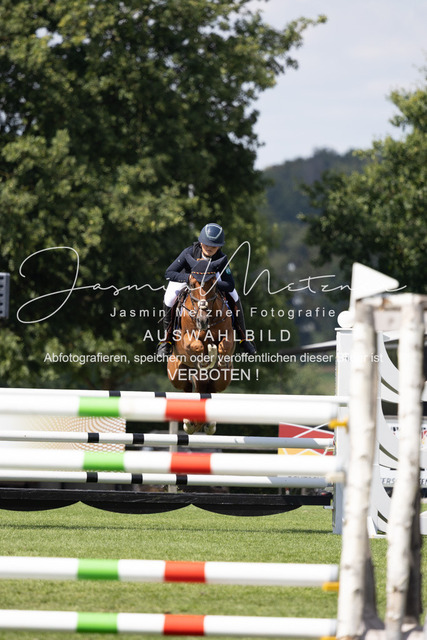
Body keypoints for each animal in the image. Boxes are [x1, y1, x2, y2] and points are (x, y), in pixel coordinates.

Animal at [167, 257, 235, 434]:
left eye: (213, 284)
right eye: (191, 284)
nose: (202, 320)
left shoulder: (229, 335)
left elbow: (224, 346)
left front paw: (216, 357)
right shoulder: (185, 339)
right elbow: (196, 346)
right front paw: (205, 359)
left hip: (223, 380)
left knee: (209, 389)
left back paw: (207, 423)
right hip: (176, 373)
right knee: (187, 388)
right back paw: (188, 422)